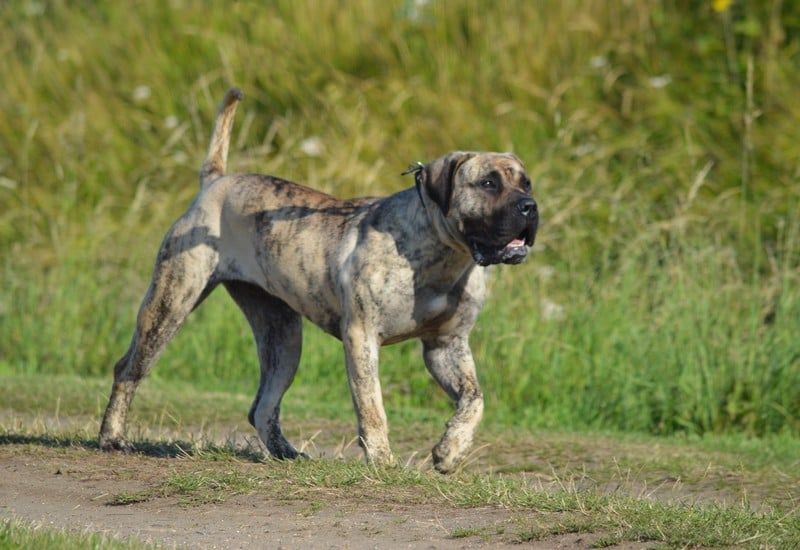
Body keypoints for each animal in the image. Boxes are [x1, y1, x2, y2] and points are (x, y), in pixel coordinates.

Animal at [98, 89, 536, 474]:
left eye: (526, 182)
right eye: (489, 183)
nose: (530, 207)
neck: (441, 254)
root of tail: (215, 182)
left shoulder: (447, 346)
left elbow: (474, 400)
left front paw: (450, 450)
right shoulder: (361, 337)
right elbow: (372, 407)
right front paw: (382, 461)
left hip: (282, 336)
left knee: (262, 406)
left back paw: (287, 454)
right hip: (170, 303)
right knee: (128, 369)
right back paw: (112, 437)